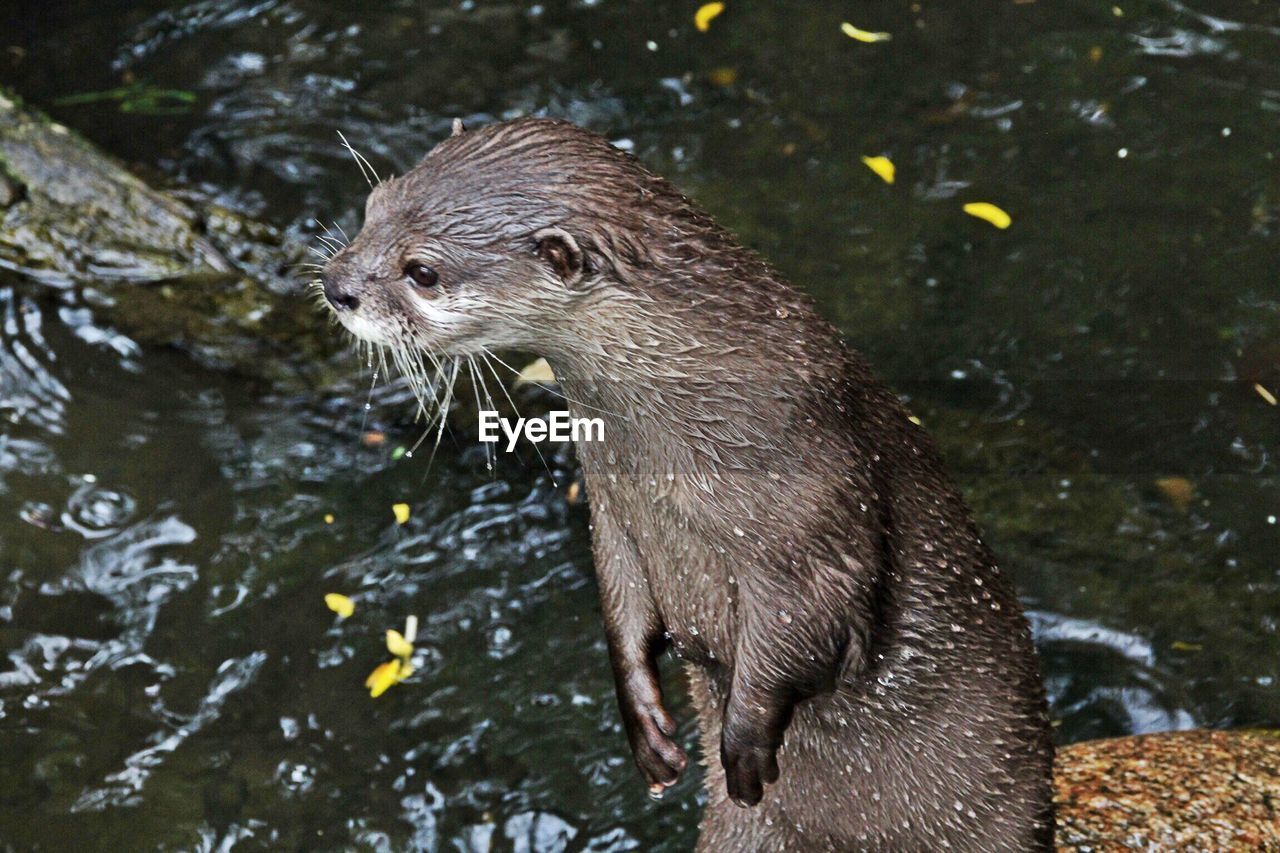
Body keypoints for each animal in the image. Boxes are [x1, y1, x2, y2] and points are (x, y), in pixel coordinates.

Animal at [320, 116, 1049, 845]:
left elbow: (810, 624)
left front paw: (744, 741)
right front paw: (645, 721)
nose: (336, 284)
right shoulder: (613, 512)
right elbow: (620, 602)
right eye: (372, 207)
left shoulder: (813, 504)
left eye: (422, 271)